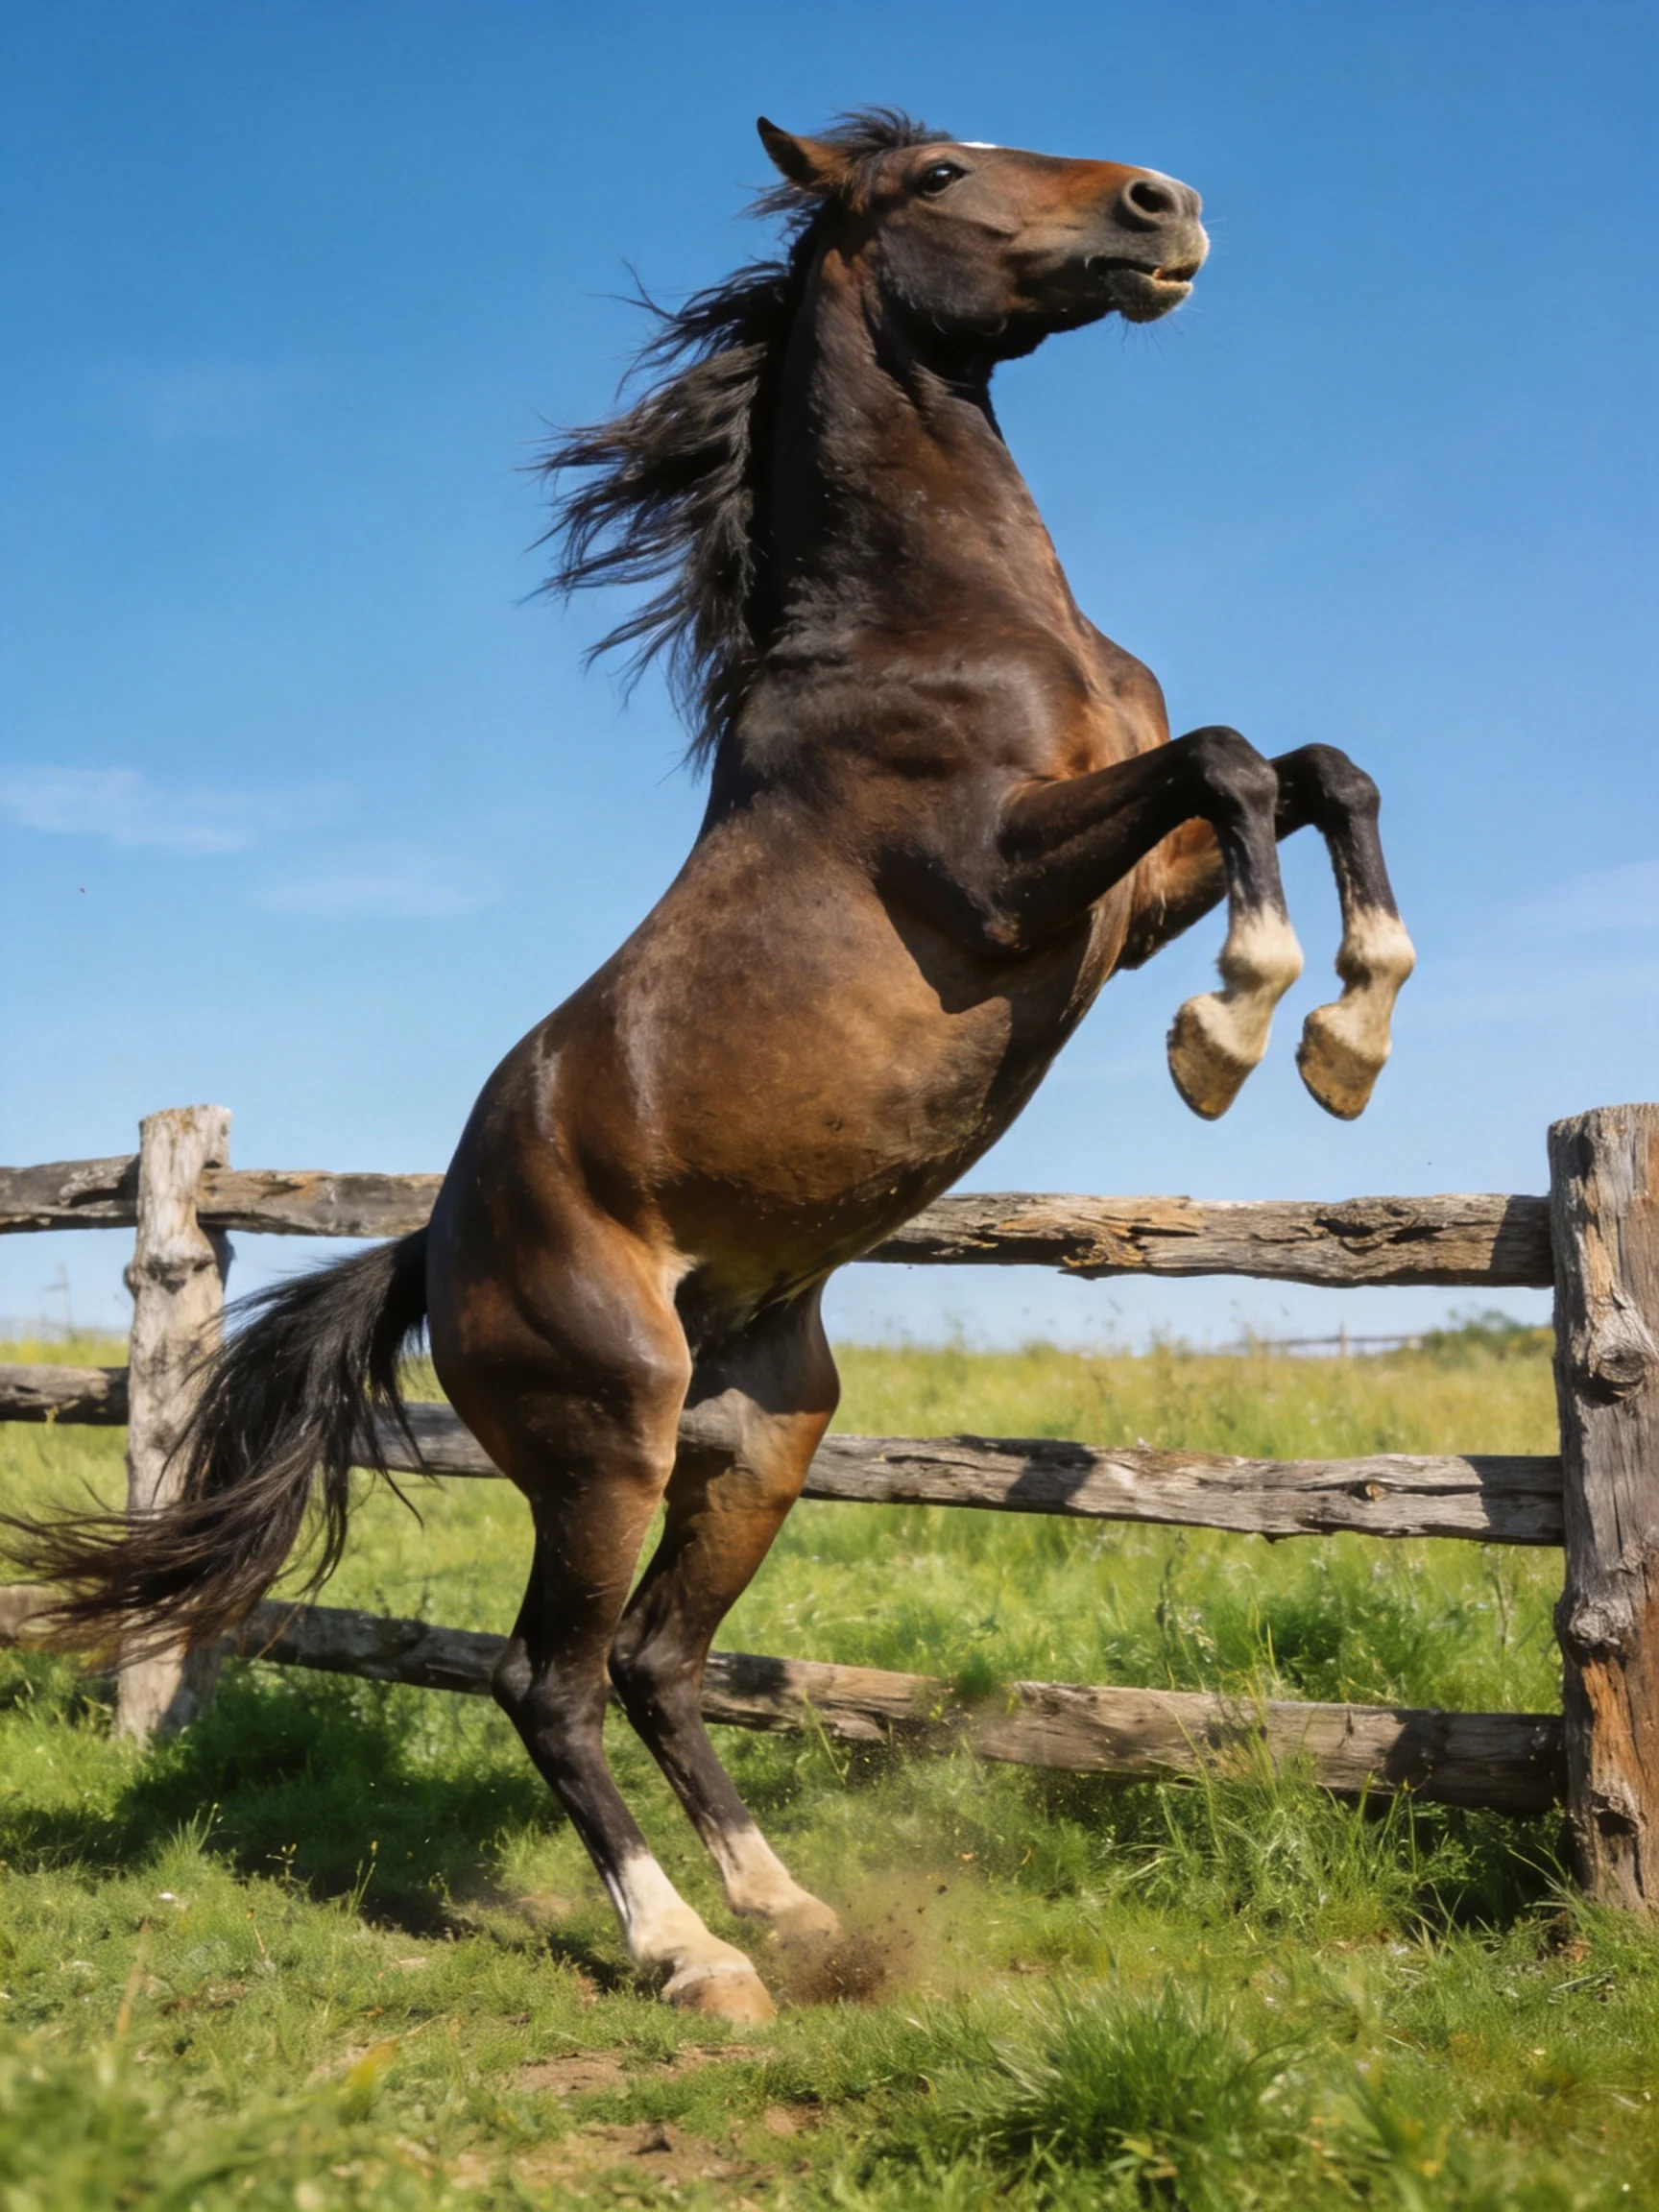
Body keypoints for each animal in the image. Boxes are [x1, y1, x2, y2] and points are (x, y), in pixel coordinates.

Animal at [10, 111, 1413, 2022]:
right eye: (935, 177)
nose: (1165, 208)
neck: (930, 626)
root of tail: (433, 1246)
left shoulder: (1127, 898)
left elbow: (1313, 765)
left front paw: (1350, 1029)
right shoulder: (1006, 884)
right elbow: (1228, 756)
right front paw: (1240, 1030)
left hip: (758, 1441)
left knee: (663, 1663)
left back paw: (795, 1915)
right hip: (605, 1441)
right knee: (547, 1679)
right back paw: (689, 1956)